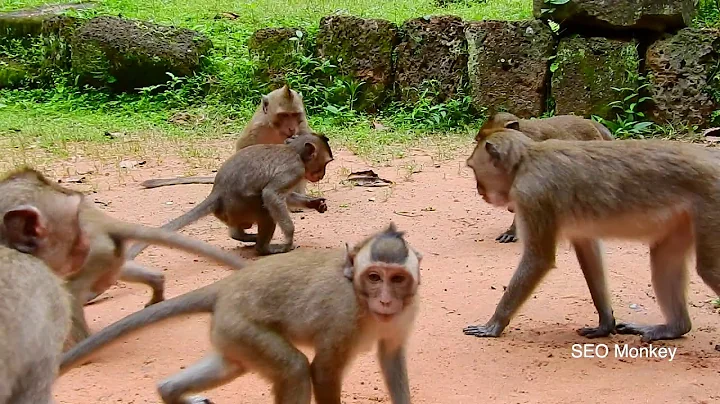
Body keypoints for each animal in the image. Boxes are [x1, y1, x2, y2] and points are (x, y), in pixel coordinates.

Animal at [0, 168, 251, 350]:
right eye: (73, 223)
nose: (83, 241)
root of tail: (103, 223)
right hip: (105, 255)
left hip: (97, 255)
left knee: (71, 292)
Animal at [60, 223, 421, 404]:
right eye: (374, 277)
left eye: (397, 279)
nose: (385, 301)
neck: (362, 301)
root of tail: (227, 287)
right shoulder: (343, 317)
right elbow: (323, 372)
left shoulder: (406, 314)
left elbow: (390, 356)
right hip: (242, 325)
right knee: (294, 370)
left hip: (230, 332)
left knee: (231, 364)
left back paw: (170, 391)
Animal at [125, 132, 333, 259]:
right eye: (326, 163)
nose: (322, 174)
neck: (294, 151)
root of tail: (216, 192)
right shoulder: (294, 169)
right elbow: (272, 195)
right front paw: (288, 239)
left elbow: (285, 197)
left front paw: (315, 203)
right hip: (241, 206)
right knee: (265, 211)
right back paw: (264, 248)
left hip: (232, 212)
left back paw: (243, 236)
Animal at [462, 127, 720, 343]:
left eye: (474, 169)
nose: (479, 190)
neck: (526, 161)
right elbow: (589, 254)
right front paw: (605, 323)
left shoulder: (532, 195)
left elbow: (538, 259)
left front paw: (494, 324)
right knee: (664, 260)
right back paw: (675, 328)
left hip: (711, 203)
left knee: (709, 269)